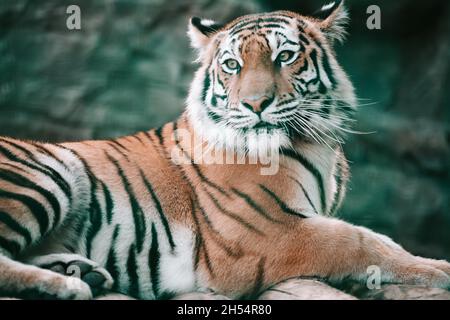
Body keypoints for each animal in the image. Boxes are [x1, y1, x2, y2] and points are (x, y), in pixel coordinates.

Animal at [0, 0, 448, 300]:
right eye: (232, 65)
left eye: (285, 56)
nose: (255, 104)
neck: (315, 143)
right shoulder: (263, 233)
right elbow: (362, 241)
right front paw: (438, 268)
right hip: (49, 169)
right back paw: (64, 285)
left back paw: (80, 270)